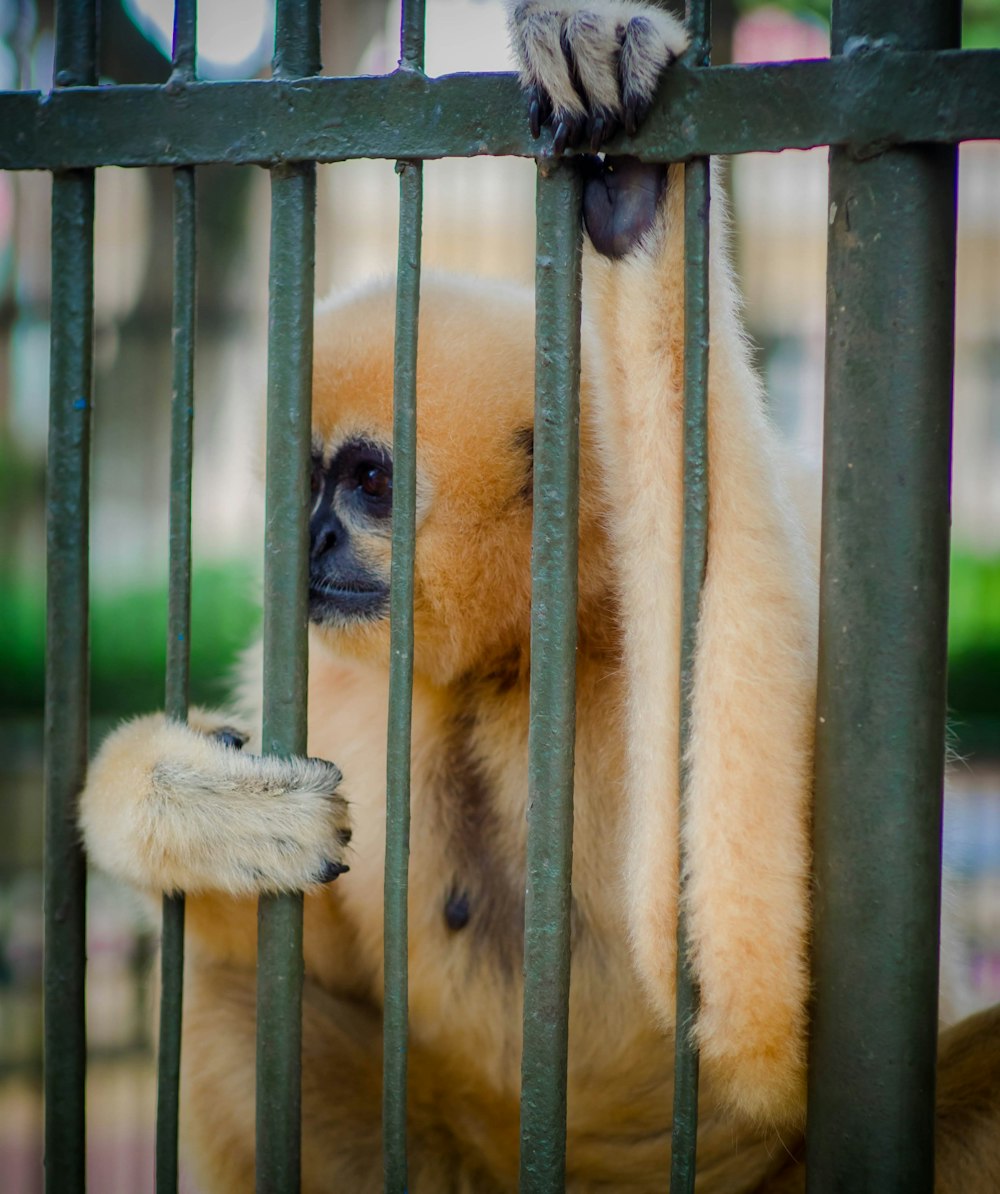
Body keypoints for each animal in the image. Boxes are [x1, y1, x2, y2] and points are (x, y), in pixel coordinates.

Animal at [76, 2, 1000, 1194]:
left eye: (366, 482)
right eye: (307, 481)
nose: (311, 535)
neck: (518, 652)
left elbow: (760, 1005)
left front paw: (633, 204)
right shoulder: (337, 683)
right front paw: (188, 804)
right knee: (223, 1001)